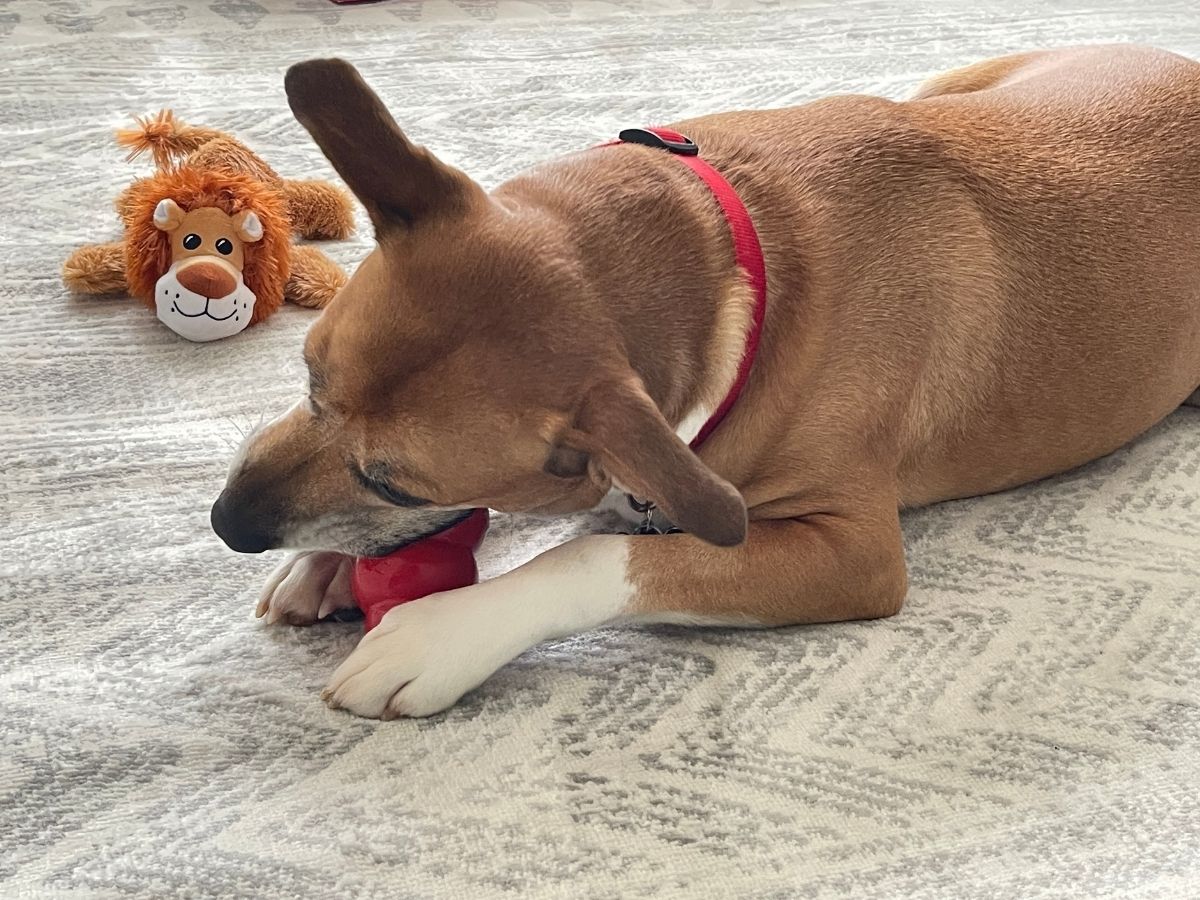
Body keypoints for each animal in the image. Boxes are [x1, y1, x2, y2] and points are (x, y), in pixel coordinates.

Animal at [208, 45, 1200, 724]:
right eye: (307, 378)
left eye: (393, 481)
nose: (226, 523)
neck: (730, 261)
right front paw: (330, 564)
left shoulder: (851, 552)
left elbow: (598, 555)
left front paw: (444, 629)